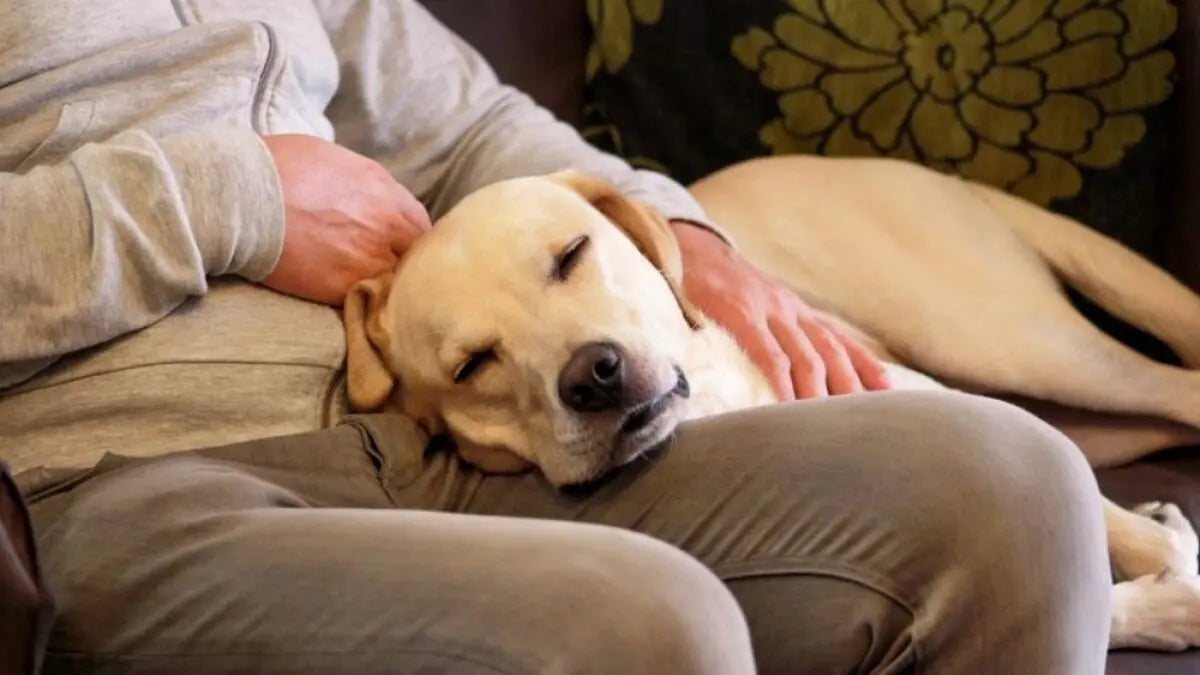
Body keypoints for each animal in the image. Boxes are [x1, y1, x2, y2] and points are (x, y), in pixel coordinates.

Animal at [343, 165, 1200, 648]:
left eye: (570, 254)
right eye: (471, 364)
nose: (595, 375)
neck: (709, 401)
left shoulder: (916, 387)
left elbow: (1117, 534)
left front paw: (1171, 567)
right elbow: (1102, 580)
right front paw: (1171, 597)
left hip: (1004, 344)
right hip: (1067, 402)